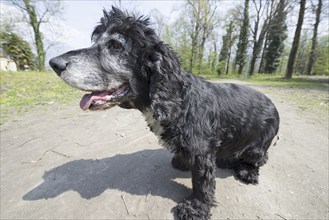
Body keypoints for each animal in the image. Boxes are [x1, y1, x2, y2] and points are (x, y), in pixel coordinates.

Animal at [49, 7, 280, 220]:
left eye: (115, 45)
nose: (54, 63)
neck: (179, 101)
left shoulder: (202, 151)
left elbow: (202, 182)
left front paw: (196, 208)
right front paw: (181, 161)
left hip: (257, 148)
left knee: (259, 160)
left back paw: (247, 171)